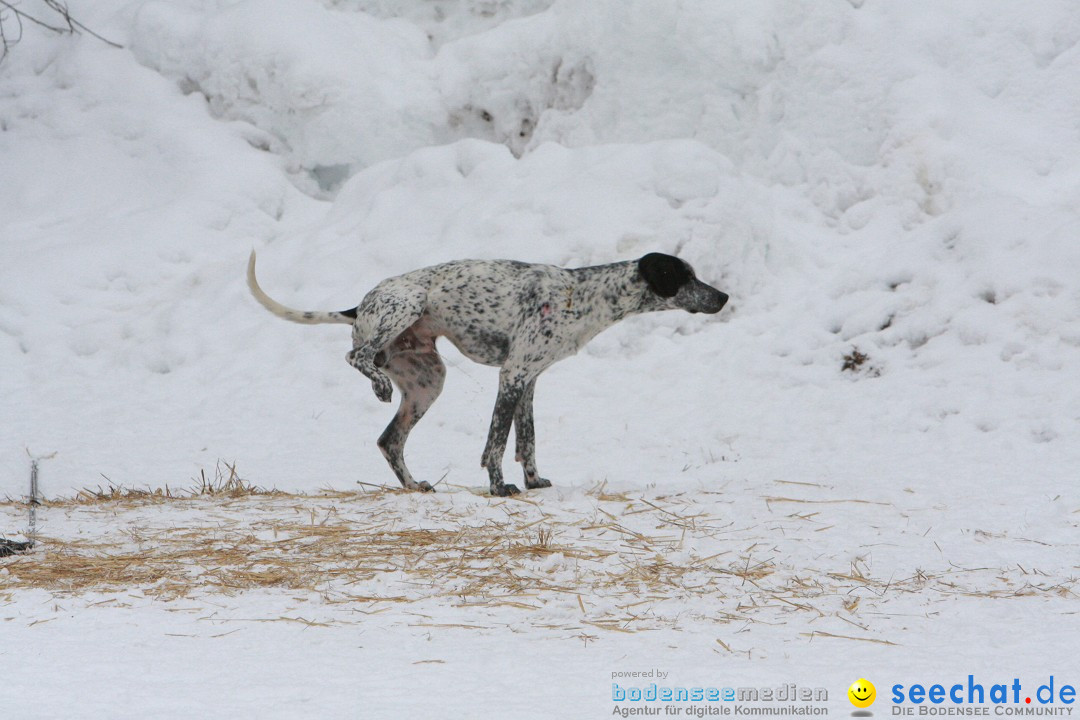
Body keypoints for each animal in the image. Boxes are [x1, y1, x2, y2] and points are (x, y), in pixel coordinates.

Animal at [248, 252, 730, 496]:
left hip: (428, 382)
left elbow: (526, 441)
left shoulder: (529, 380)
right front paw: (499, 487)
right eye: (684, 275)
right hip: (406, 306)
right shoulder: (512, 375)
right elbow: (495, 445)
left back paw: (414, 485)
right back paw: (378, 384)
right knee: (355, 357)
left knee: (389, 441)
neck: (583, 296)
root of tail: (360, 304)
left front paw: (534, 481)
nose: (723, 297)